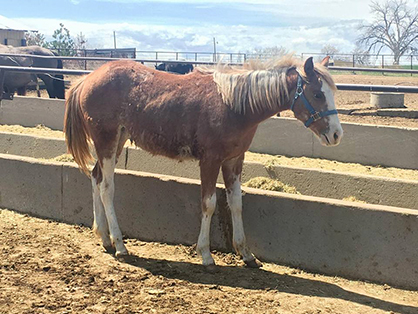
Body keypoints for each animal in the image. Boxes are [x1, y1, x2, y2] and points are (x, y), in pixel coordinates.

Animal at [62, 55, 342, 268]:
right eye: (317, 94)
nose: (337, 135)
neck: (233, 105)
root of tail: (86, 79)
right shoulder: (210, 160)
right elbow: (209, 204)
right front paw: (206, 255)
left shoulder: (233, 160)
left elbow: (236, 203)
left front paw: (246, 254)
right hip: (107, 142)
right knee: (107, 187)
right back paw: (120, 244)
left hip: (117, 141)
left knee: (95, 177)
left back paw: (104, 238)